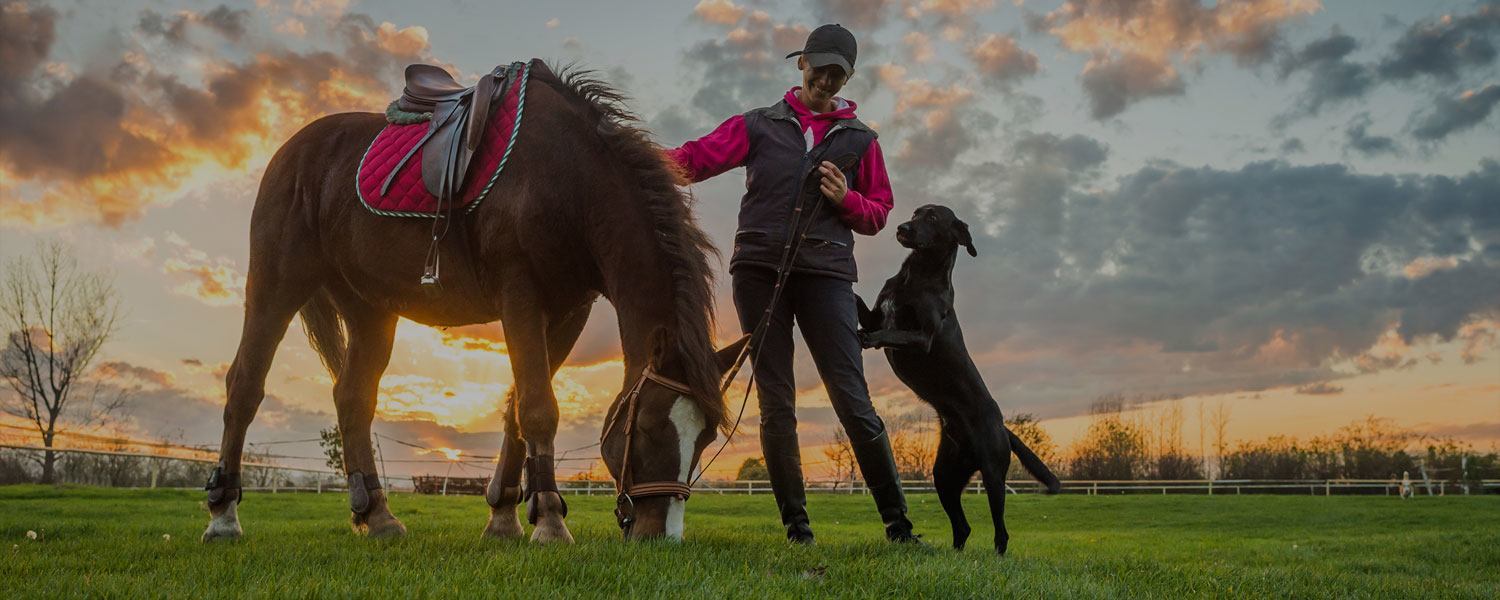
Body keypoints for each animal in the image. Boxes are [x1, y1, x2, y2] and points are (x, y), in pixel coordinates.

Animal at [207, 60, 750, 543]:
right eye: (653, 428)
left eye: (705, 437)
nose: (663, 535)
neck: (569, 177)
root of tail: (293, 150)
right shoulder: (520, 296)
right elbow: (538, 407)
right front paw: (550, 521)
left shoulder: (569, 312)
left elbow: (515, 409)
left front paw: (506, 517)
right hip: (276, 285)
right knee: (245, 386)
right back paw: (223, 516)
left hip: (369, 310)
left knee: (353, 398)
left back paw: (378, 516)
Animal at [858, 204, 1068, 555]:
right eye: (915, 212)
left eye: (932, 218)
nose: (902, 228)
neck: (917, 275)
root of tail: (1003, 426)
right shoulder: (877, 312)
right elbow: (859, 303)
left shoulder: (922, 337)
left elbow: (890, 332)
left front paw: (868, 338)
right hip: (945, 475)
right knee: (963, 526)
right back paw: (954, 556)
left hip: (993, 474)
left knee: (1001, 531)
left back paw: (996, 559)